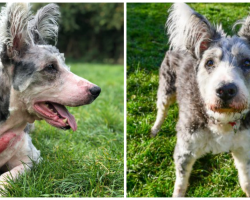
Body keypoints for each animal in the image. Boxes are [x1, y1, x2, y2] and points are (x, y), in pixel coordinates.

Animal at [151, 2, 250, 197]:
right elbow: (181, 182)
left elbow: (246, 181)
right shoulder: (185, 148)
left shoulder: (245, 147)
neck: (221, 119)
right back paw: (155, 128)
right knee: (161, 110)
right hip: (166, 87)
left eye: (247, 63)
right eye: (209, 63)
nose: (225, 90)